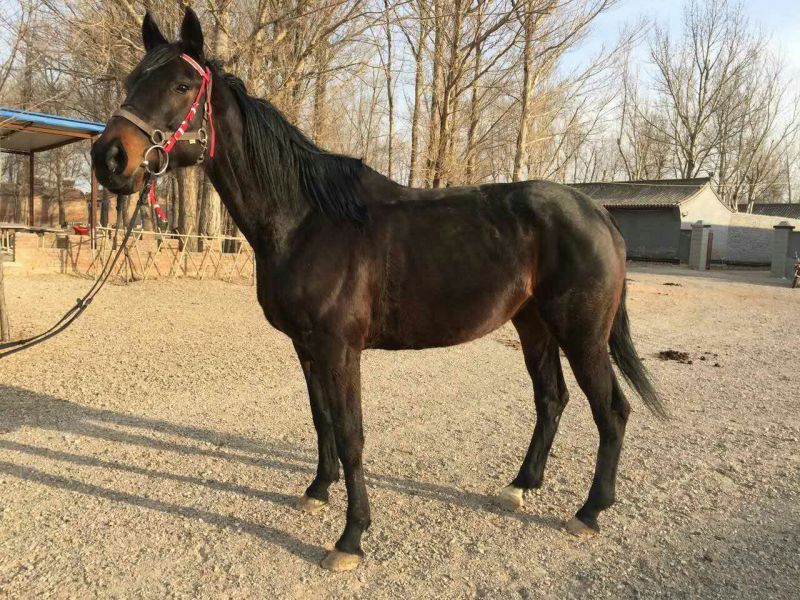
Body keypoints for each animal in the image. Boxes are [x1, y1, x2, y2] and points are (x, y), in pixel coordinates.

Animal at [91, 8, 665, 572]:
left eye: (183, 84)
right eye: (131, 81)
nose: (109, 158)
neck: (307, 220)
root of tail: (598, 213)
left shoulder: (340, 348)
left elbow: (351, 435)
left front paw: (351, 538)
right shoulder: (306, 347)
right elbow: (322, 419)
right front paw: (317, 491)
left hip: (581, 333)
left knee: (611, 410)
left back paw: (589, 512)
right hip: (533, 326)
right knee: (551, 399)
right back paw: (520, 487)